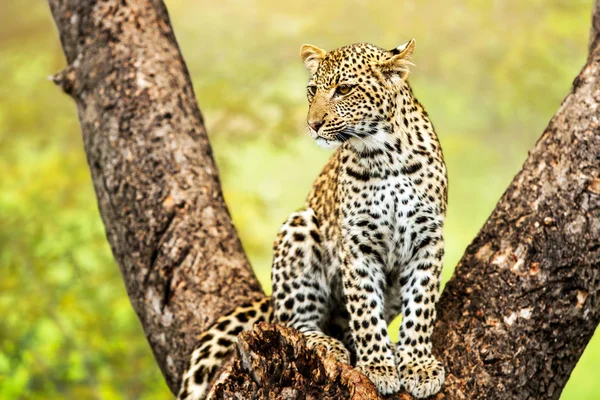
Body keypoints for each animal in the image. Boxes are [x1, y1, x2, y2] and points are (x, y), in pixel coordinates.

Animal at [177, 38, 446, 400]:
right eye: (312, 90)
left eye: (344, 89)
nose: (313, 124)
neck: (385, 154)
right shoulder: (357, 244)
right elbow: (365, 309)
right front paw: (378, 367)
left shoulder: (427, 240)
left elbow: (421, 307)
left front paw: (417, 365)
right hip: (300, 227)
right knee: (293, 318)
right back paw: (327, 344)